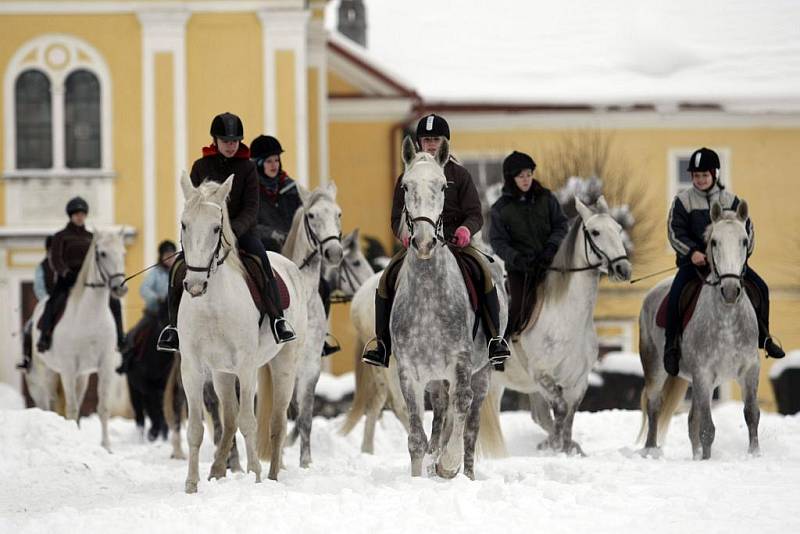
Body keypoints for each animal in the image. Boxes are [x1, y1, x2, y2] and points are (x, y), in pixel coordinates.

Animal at [482, 199, 632, 458]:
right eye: (595, 232)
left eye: (618, 229)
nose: (623, 269)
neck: (567, 320)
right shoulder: (542, 375)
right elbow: (560, 409)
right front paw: (556, 447)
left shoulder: (578, 381)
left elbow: (569, 414)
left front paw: (567, 447)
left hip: (500, 383)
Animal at [636, 201, 764, 460]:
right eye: (714, 242)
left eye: (744, 240)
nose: (730, 290)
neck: (727, 321)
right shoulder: (704, 374)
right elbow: (707, 428)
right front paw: (706, 461)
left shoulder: (749, 370)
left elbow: (751, 414)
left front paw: (754, 455)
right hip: (656, 367)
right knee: (654, 405)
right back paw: (651, 451)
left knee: (691, 419)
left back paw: (694, 456)